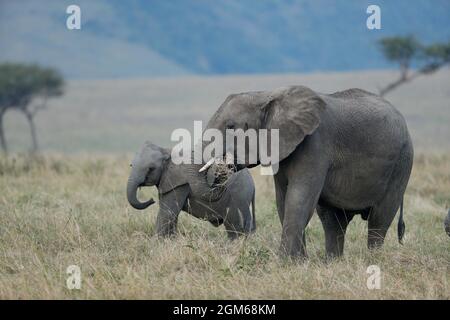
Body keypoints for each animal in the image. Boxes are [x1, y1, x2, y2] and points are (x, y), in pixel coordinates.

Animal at [126, 141, 255, 239]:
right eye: (131, 166)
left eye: (150, 169)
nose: (151, 200)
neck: (166, 151)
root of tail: (253, 186)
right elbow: (170, 213)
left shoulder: (180, 182)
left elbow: (167, 212)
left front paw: (157, 243)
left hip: (238, 197)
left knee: (235, 226)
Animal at [206, 86, 414, 258]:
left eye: (230, 126)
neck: (268, 95)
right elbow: (283, 200)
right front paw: (300, 262)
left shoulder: (315, 144)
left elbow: (298, 199)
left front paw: (285, 262)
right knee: (333, 221)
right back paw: (332, 263)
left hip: (401, 164)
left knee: (379, 219)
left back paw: (373, 261)